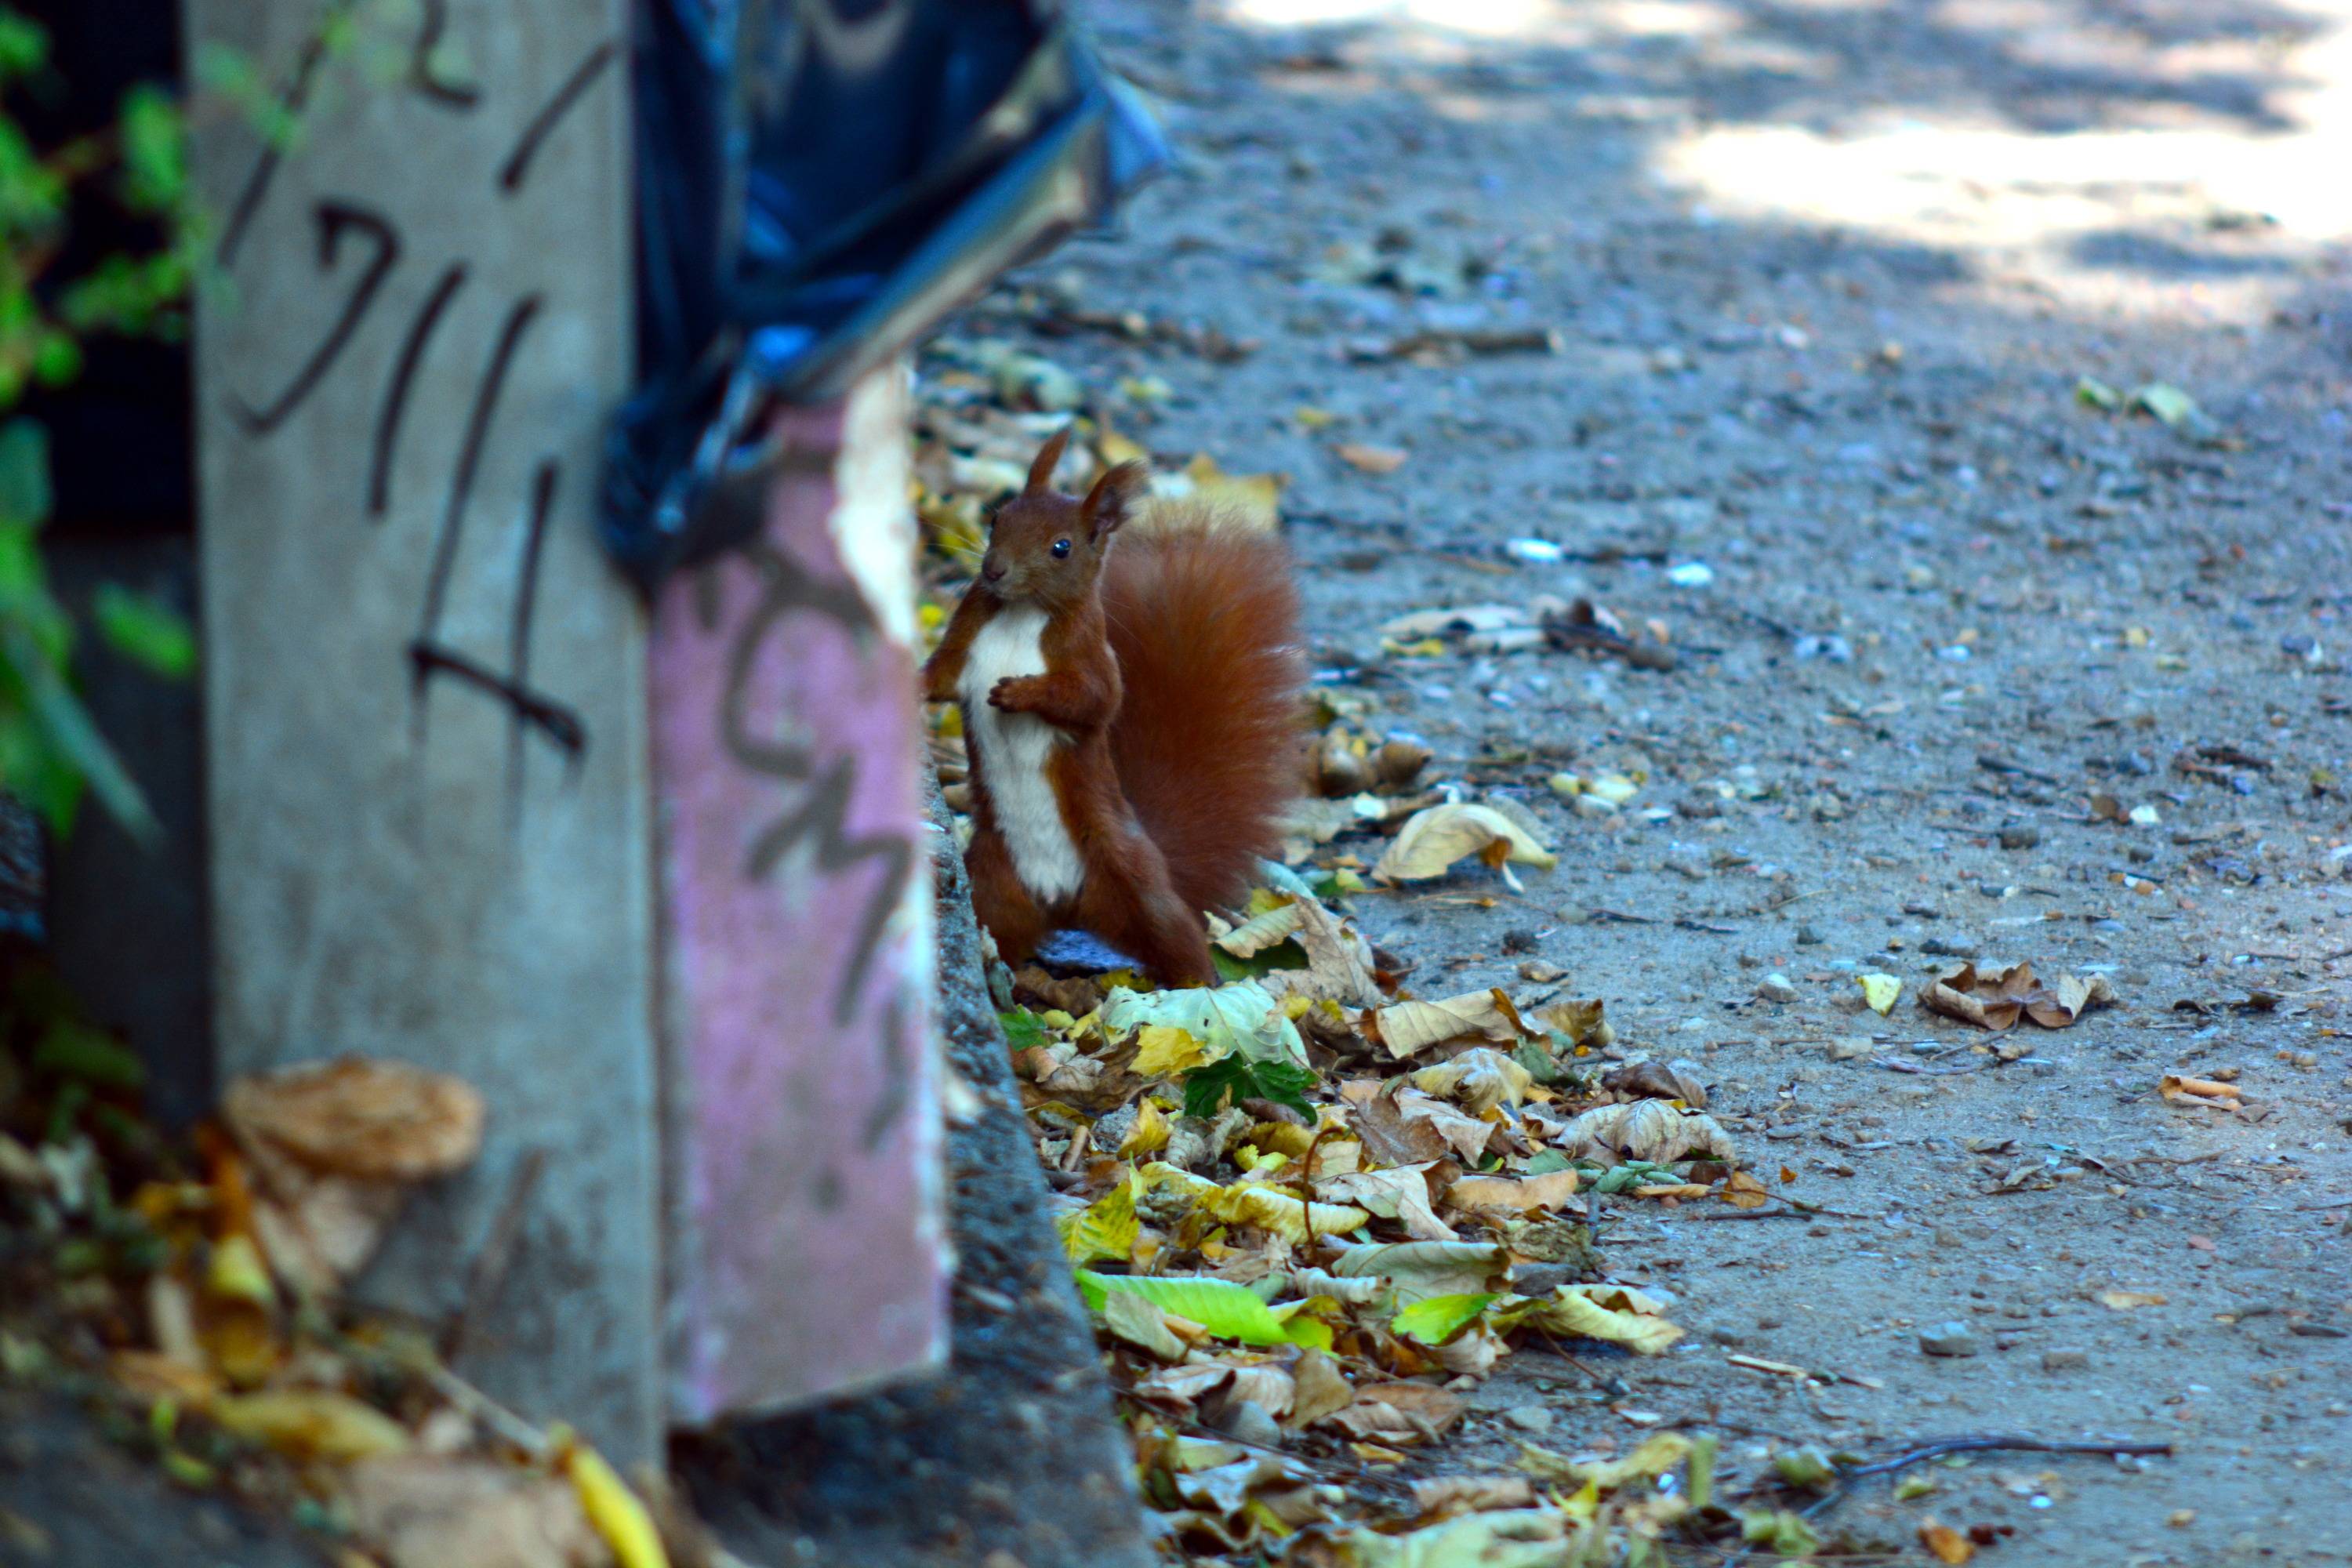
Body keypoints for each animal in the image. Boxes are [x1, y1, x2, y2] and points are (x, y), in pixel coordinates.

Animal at [922, 430, 1308, 987]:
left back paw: (1199, 993)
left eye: (1061, 548)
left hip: (1132, 879)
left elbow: (1096, 701)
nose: (993, 570)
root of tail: (1062, 904)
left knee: (1175, 933)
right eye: (997, 519)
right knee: (996, 928)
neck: (1022, 612)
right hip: (992, 884)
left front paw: (1019, 694)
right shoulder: (965, 640)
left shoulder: (1091, 656)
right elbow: (942, 680)